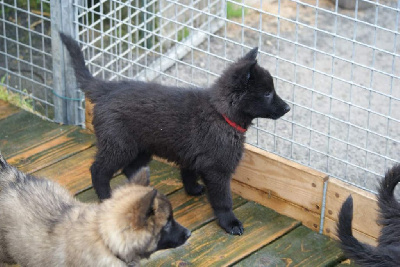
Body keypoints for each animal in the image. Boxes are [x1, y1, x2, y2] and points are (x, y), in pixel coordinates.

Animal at [59, 32, 290, 236]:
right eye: (267, 93)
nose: (288, 108)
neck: (221, 113)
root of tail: (107, 89)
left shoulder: (192, 156)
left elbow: (188, 173)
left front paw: (193, 189)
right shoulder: (218, 169)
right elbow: (224, 200)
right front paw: (230, 223)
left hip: (142, 147)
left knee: (130, 169)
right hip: (119, 145)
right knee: (98, 170)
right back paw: (106, 197)